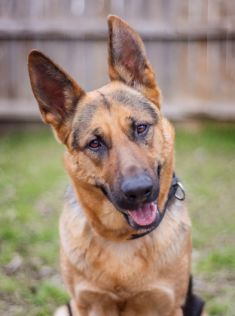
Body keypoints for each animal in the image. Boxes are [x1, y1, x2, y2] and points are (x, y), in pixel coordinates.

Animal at [28, 14, 206, 316]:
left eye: (140, 128)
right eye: (95, 143)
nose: (139, 191)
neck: (124, 239)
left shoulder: (169, 305)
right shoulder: (85, 304)